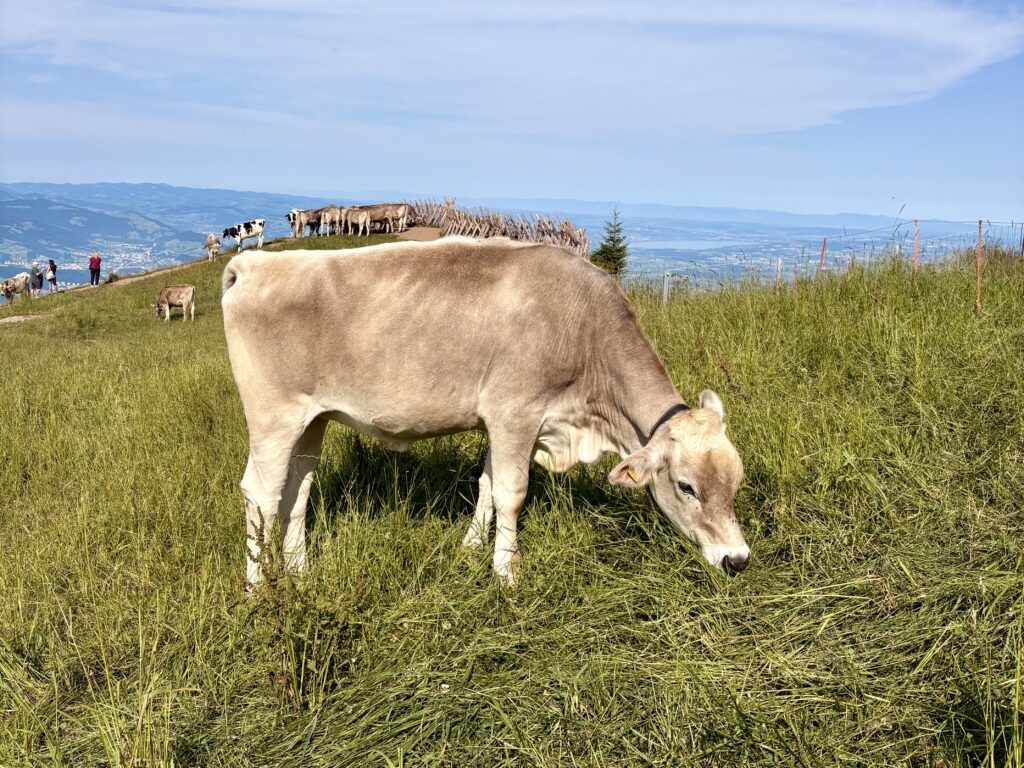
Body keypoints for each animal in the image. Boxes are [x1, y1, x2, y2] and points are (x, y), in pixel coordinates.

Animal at [222, 238, 749, 590]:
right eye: (686, 486)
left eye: (737, 483)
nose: (737, 559)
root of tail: (253, 263)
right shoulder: (515, 412)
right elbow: (512, 493)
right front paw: (507, 573)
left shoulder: (502, 421)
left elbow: (488, 485)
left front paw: (472, 548)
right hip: (273, 415)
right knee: (261, 494)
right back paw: (257, 590)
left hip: (312, 419)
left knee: (297, 490)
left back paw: (299, 570)